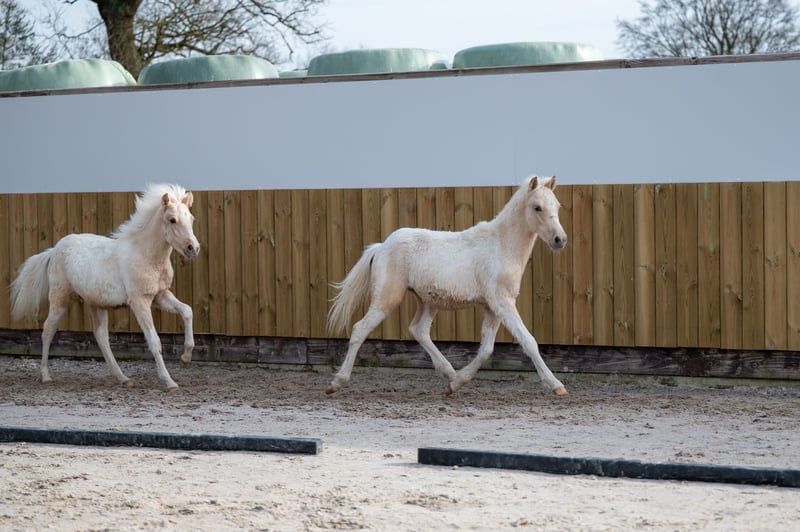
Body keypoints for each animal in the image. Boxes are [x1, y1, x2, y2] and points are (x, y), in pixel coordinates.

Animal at [9, 183, 200, 391]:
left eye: (191, 218)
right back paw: (45, 376)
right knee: (48, 329)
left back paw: (123, 378)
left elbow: (188, 311)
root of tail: (54, 250)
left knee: (101, 336)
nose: (193, 248)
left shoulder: (160, 295)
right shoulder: (139, 301)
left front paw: (185, 359)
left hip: (97, 304)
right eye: (172, 220)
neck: (145, 255)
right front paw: (169, 381)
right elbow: (154, 340)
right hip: (59, 298)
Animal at [326, 175, 568, 396]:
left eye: (556, 205)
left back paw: (450, 375)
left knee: (419, 330)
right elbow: (528, 341)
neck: (501, 246)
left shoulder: (493, 307)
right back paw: (335, 383)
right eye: (537, 207)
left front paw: (456, 384)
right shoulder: (502, 303)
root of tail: (381, 246)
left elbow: (486, 350)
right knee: (360, 329)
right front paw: (556, 385)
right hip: (388, 298)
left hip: (426, 301)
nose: (560, 239)